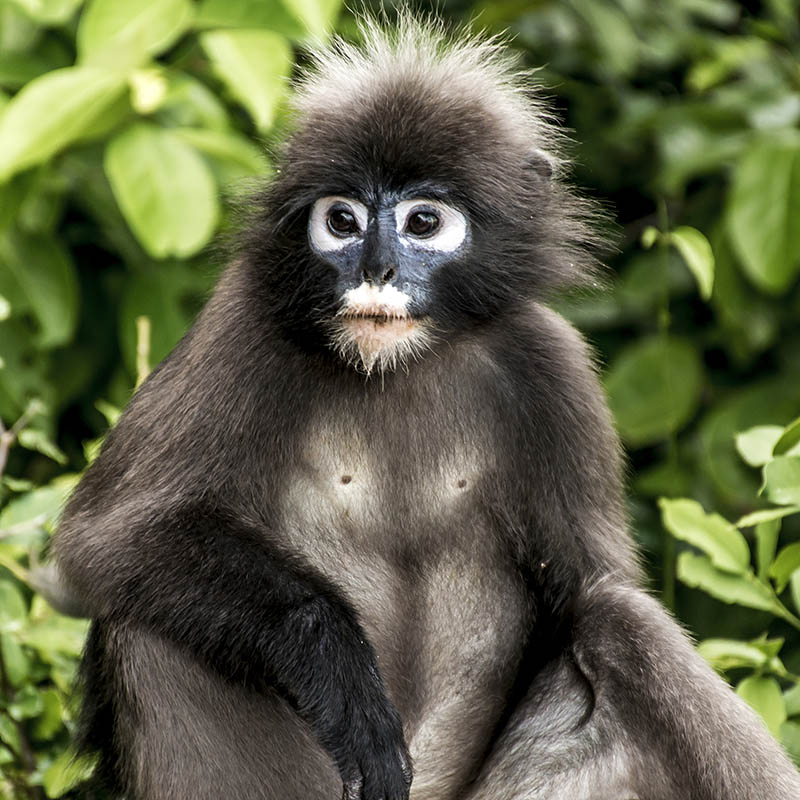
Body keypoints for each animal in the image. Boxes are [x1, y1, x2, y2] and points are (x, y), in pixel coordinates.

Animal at [53, 14, 800, 800]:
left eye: (422, 222)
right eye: (342, 221)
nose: (377, 269)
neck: (397, 366)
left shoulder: (552, 364)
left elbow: (594, 590)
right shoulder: (241, 324)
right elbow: (106, 537)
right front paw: (341, 671)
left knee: (620, 620)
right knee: (145, 617)